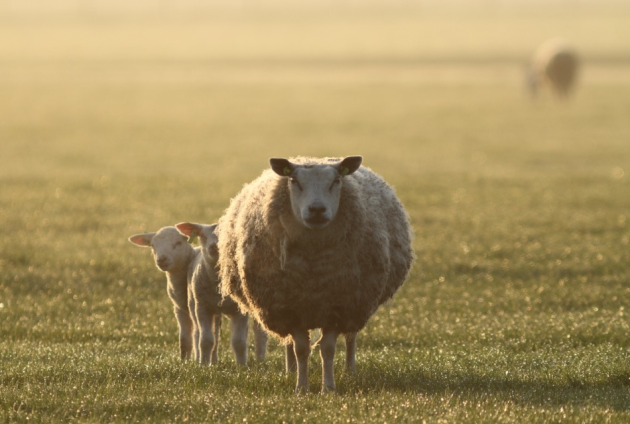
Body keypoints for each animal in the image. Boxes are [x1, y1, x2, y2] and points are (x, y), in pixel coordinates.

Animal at [220, 157, 418, 394]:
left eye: (336, 180)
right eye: (294, 181)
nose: (316, 209)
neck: (313, 271)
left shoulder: (337, 308)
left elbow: (328, 349)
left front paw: (328, 388)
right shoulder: (290, 310)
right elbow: (301, 349)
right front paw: (301, 388)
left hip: (356, 305)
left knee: (351, 337)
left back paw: (349, 371)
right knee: (290, 345)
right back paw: (291, 370)